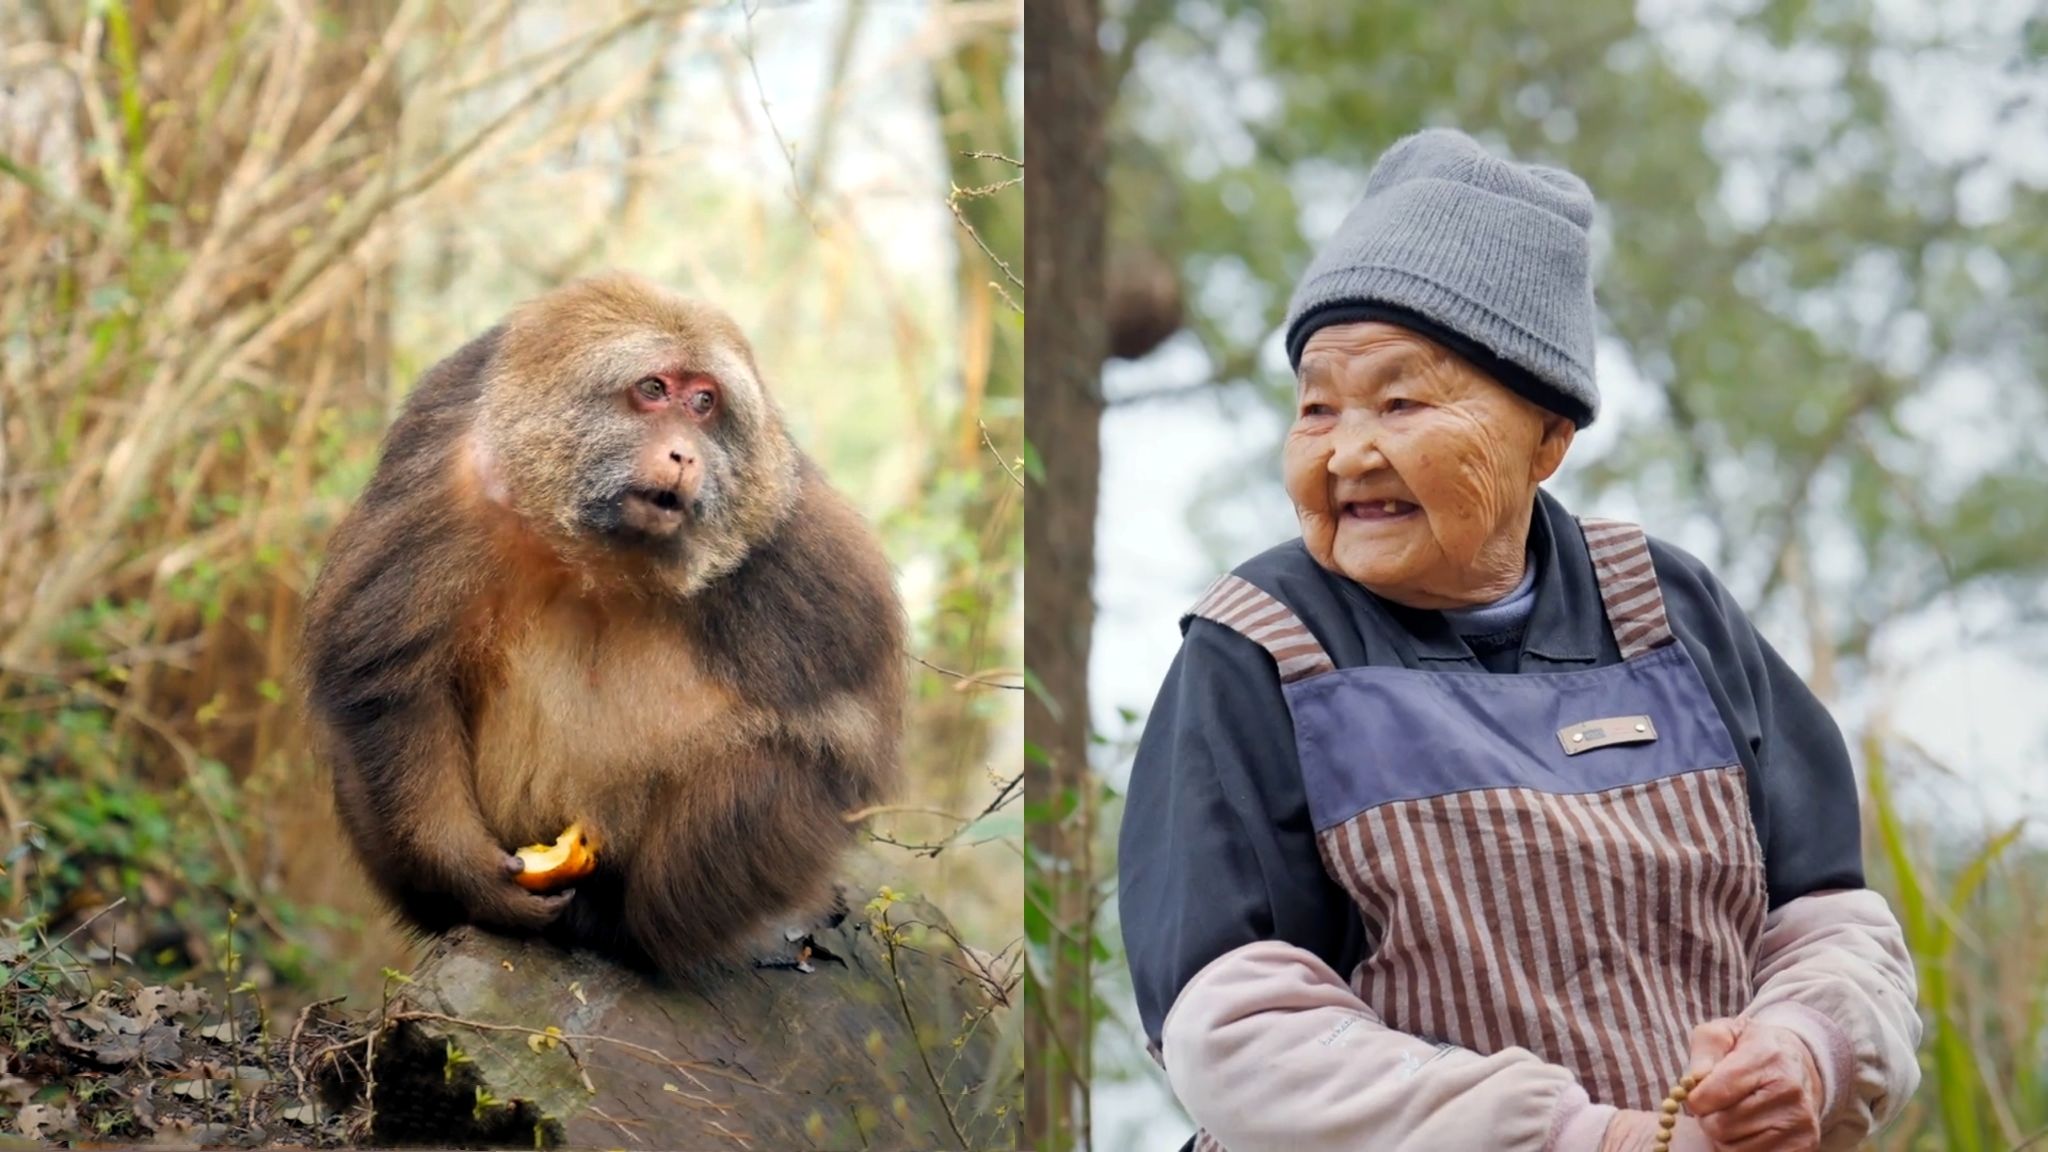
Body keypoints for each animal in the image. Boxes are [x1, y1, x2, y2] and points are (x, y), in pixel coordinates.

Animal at [299, 268, 905, 967]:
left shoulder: (795, 540)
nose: (685, 455)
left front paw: (624, 916)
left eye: (704, 402)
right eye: (654, 390)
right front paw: (468, 876)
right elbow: (389, 673)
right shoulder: (442, 472)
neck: (600, 551)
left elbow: (830, 742)